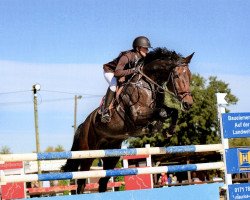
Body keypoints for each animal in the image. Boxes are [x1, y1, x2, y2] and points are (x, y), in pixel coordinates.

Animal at [61, 47, 194, 194]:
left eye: (189, 76)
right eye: (176, 76)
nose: (188, 104)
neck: (147, 84)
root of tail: (84, 124)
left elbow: (173, 111)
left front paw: (167, 131)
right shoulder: (137, 114)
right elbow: (162, 113)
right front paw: (156, 127)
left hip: (111, 155)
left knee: (102, 181)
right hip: (87, 152)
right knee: (81, 181)